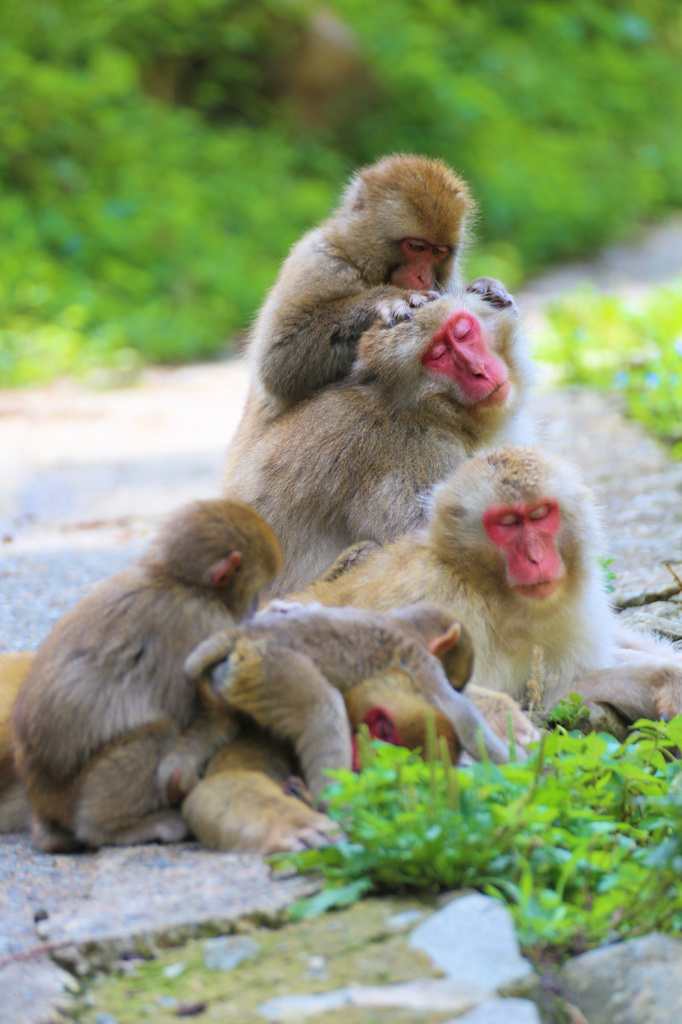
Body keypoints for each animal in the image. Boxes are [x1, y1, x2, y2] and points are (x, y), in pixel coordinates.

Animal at [10, 499, 280, 851]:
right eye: (256, 591)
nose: (254, 607)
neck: (174, 579)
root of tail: (41, 799)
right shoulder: (204, 623)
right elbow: (213, 715)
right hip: (74, 792)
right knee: (157, 733)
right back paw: (111, 828)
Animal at [246, 153, 512, 409]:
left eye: (438, 252)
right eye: (416, 247)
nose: (423, 277)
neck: (359, 260)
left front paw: (488, 287)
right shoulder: (319, 262)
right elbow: (279, 362)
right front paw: (390, 298)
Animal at [292, 444, 679, 724]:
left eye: (540, 514)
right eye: (507, 523)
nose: (536, 558)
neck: (494, 596)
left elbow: (561, 689)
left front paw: (665, 679)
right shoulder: (439, 597)